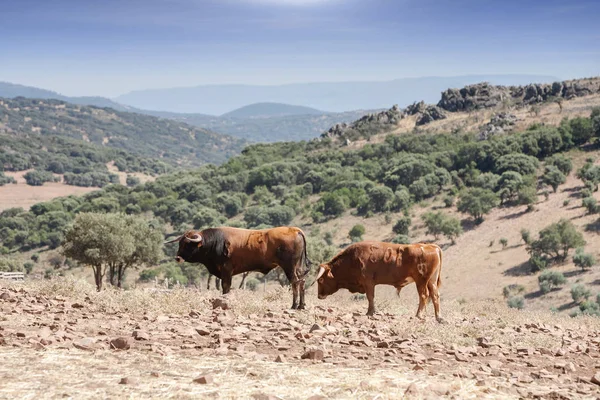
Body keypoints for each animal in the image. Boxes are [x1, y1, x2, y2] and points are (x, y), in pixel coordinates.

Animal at [165, 227, 312, 308]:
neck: (215, 242)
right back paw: (301, 305)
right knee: (302, 281)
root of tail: (295, 230)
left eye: (187, 244)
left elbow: (226, 287)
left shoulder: (226, 270)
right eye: (180, 243)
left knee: (294, 282)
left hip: (289, 267)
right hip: (297, 267)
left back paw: (294, 305)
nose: (177, 258)